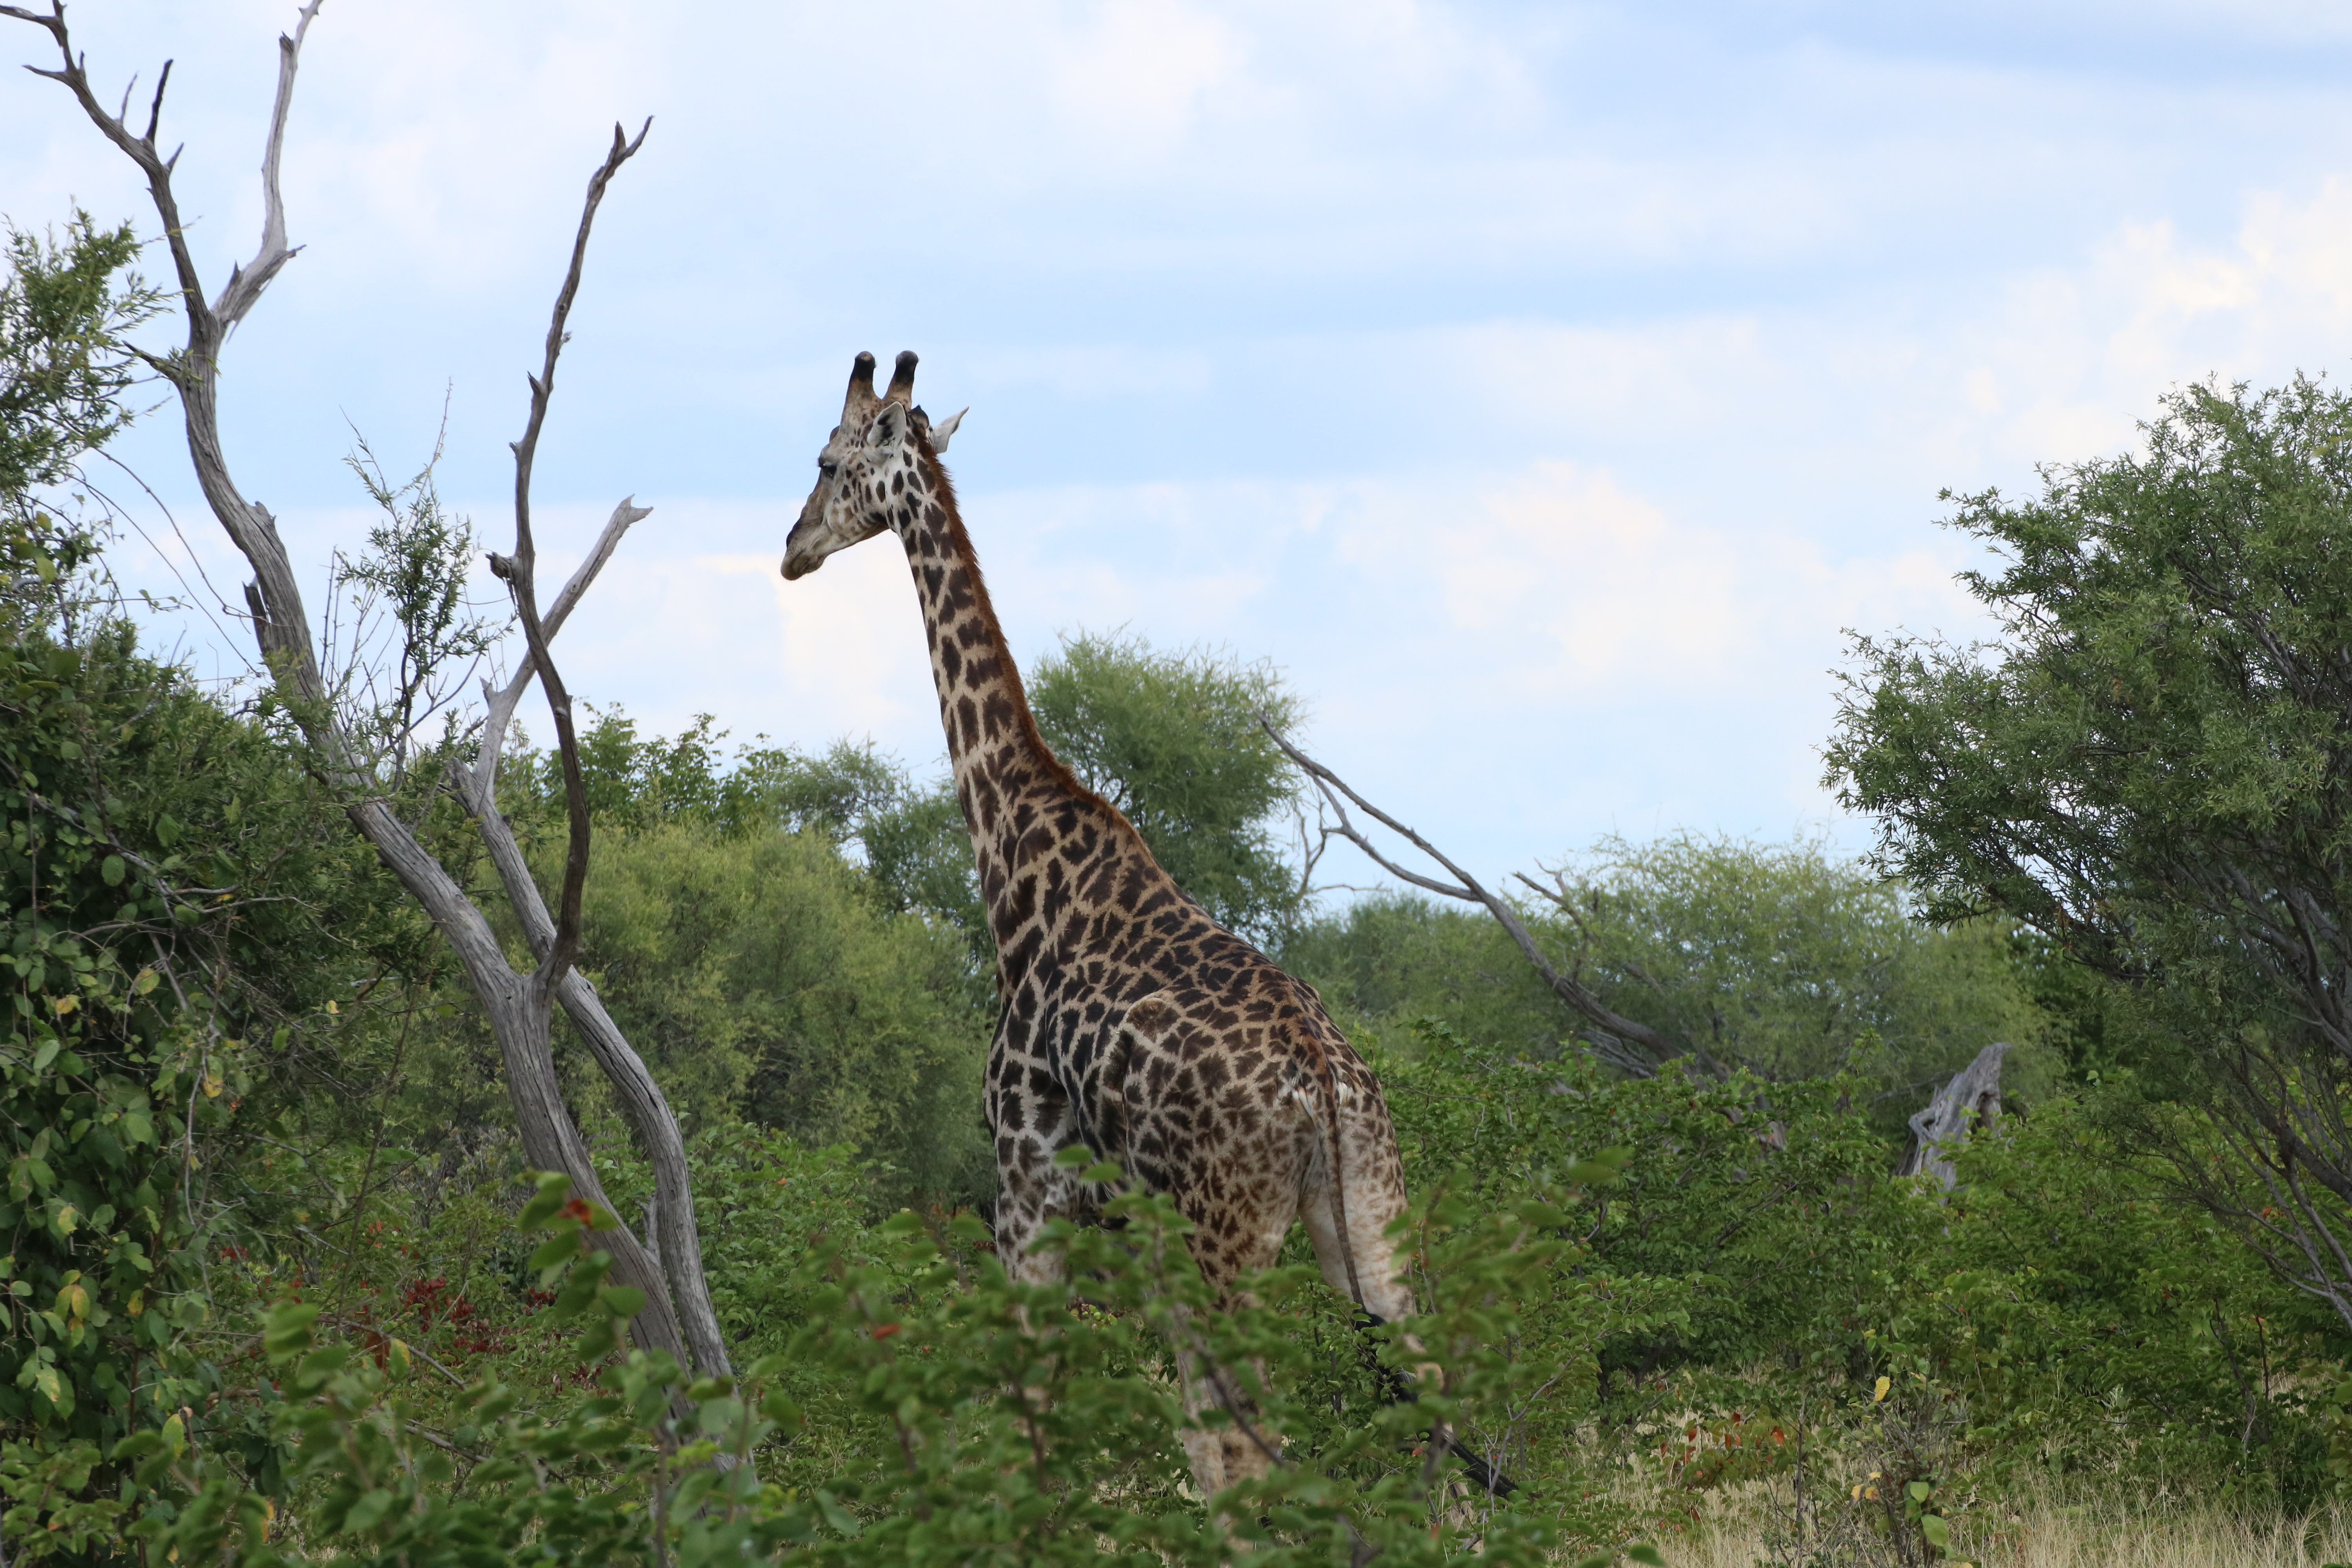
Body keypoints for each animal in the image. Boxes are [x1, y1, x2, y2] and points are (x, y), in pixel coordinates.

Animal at [780, 351, 1419, 1499]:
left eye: (826, 461)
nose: (792, 551)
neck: (1014, 853)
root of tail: (1323, 1084)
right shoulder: (1104, 1217)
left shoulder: (1023, 1186)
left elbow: (1037, 1422)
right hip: (1367, 1218)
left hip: (1224, 1236)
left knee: (1240, 1443)